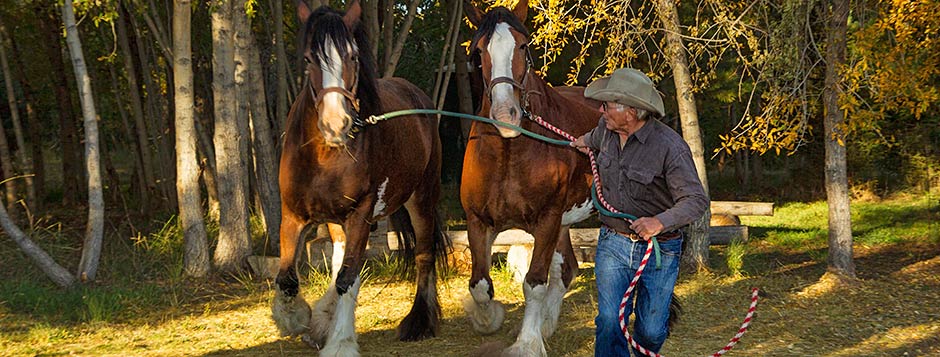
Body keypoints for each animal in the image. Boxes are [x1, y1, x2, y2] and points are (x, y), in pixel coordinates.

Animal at [272, 2, 448, 354]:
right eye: (309, 59)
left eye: (352, 57)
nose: (335, 124)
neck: (324, 156)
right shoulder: (292, 215)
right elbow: (287, 278)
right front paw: (297, 319)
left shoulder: (360, 213)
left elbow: (348, 278)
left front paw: (340, 341)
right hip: (339, 221)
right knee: (339, 257)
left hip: (421, 199)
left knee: (423, 254)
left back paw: (419, 321)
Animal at [460, 1, 604, 354]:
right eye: (478, 50)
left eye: (524, 46)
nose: (505, 116)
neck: (509, 153)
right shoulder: (477, 220)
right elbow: (479, 286)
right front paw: (489, 319)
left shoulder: (547, 219)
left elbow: (534, 283)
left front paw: (526, 343)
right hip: (563, 223)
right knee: (566, 269)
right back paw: (548, 325)